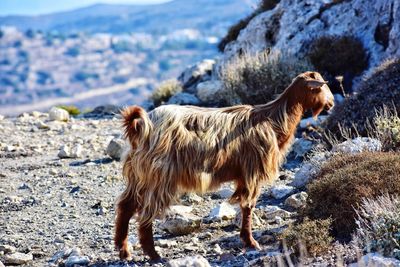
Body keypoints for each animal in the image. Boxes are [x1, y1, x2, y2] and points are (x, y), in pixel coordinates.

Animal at [113, 70, 334, 262]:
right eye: (321, 88)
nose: (331, 104)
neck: (272, 121)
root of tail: (141, 126)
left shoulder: (245, 175)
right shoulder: (252, 172)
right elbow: (248, 206)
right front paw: (251, 242)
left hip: (139, 175)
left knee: (126, 206)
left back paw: (124, 251)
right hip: (158, 176)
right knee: (145, 214)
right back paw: (153, 254)